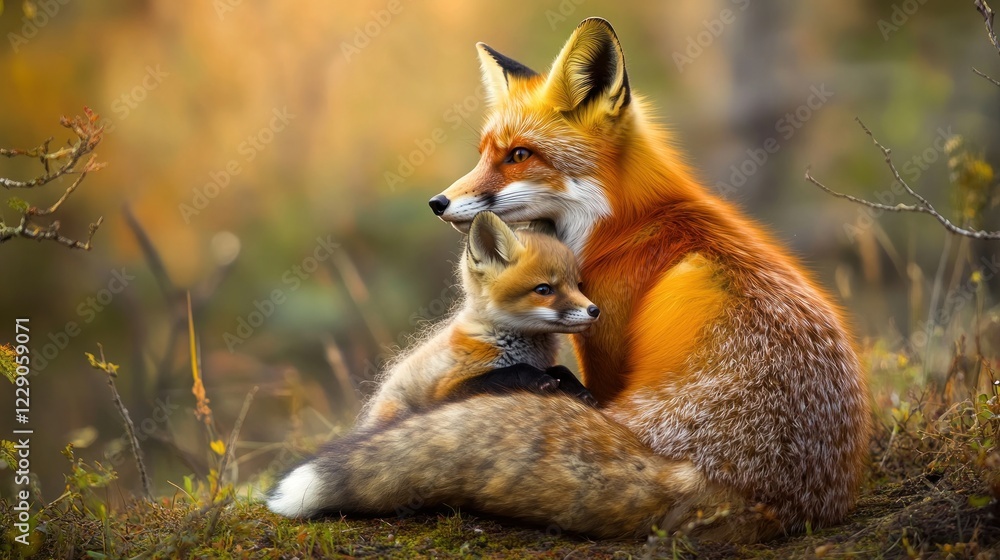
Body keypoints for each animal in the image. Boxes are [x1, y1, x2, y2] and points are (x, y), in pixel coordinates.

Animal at [267, 211, 600, 516]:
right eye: (544, 289)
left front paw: (580, 391)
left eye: (578, 284)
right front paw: (539, 379)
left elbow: (560, 369)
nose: (595, 310)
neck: (513, 343)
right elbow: (513, 372)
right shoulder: (449, 388)